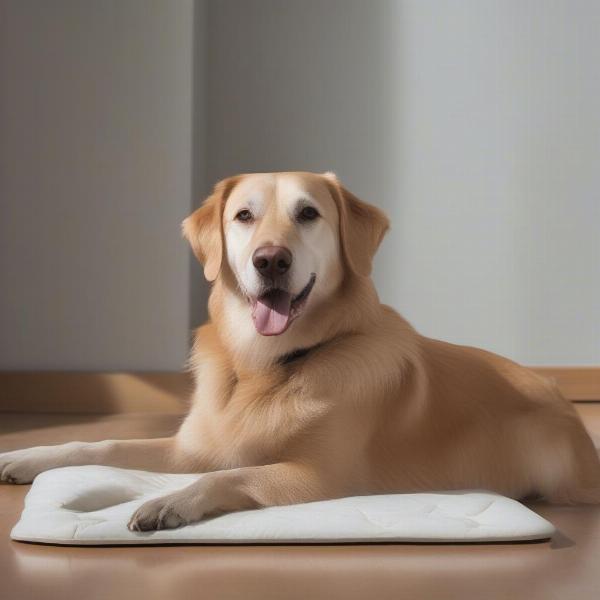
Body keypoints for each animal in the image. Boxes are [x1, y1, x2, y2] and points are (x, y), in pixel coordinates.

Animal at [1, 170, 600, 528]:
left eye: (308, 213)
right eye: (243, 216)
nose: (270, 260)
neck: (265, 366)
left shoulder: (319, 477)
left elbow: (228, 476)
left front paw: (167, 501)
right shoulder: (197, 446)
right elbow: (99, 444)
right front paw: (26, 457)